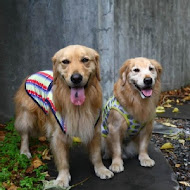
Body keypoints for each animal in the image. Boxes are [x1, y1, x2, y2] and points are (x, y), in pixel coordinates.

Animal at [14, 45, 113, 187]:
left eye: (85, 59)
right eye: (65, 61)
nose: (76, 78)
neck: (78, 107)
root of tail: (33, 73)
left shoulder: (93, 128)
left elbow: (96, 155)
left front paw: (101, 169)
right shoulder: (59, 134)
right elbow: (62, 160)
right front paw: (62, 178)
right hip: (27, 115)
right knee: (24, 134)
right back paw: (24, 151)